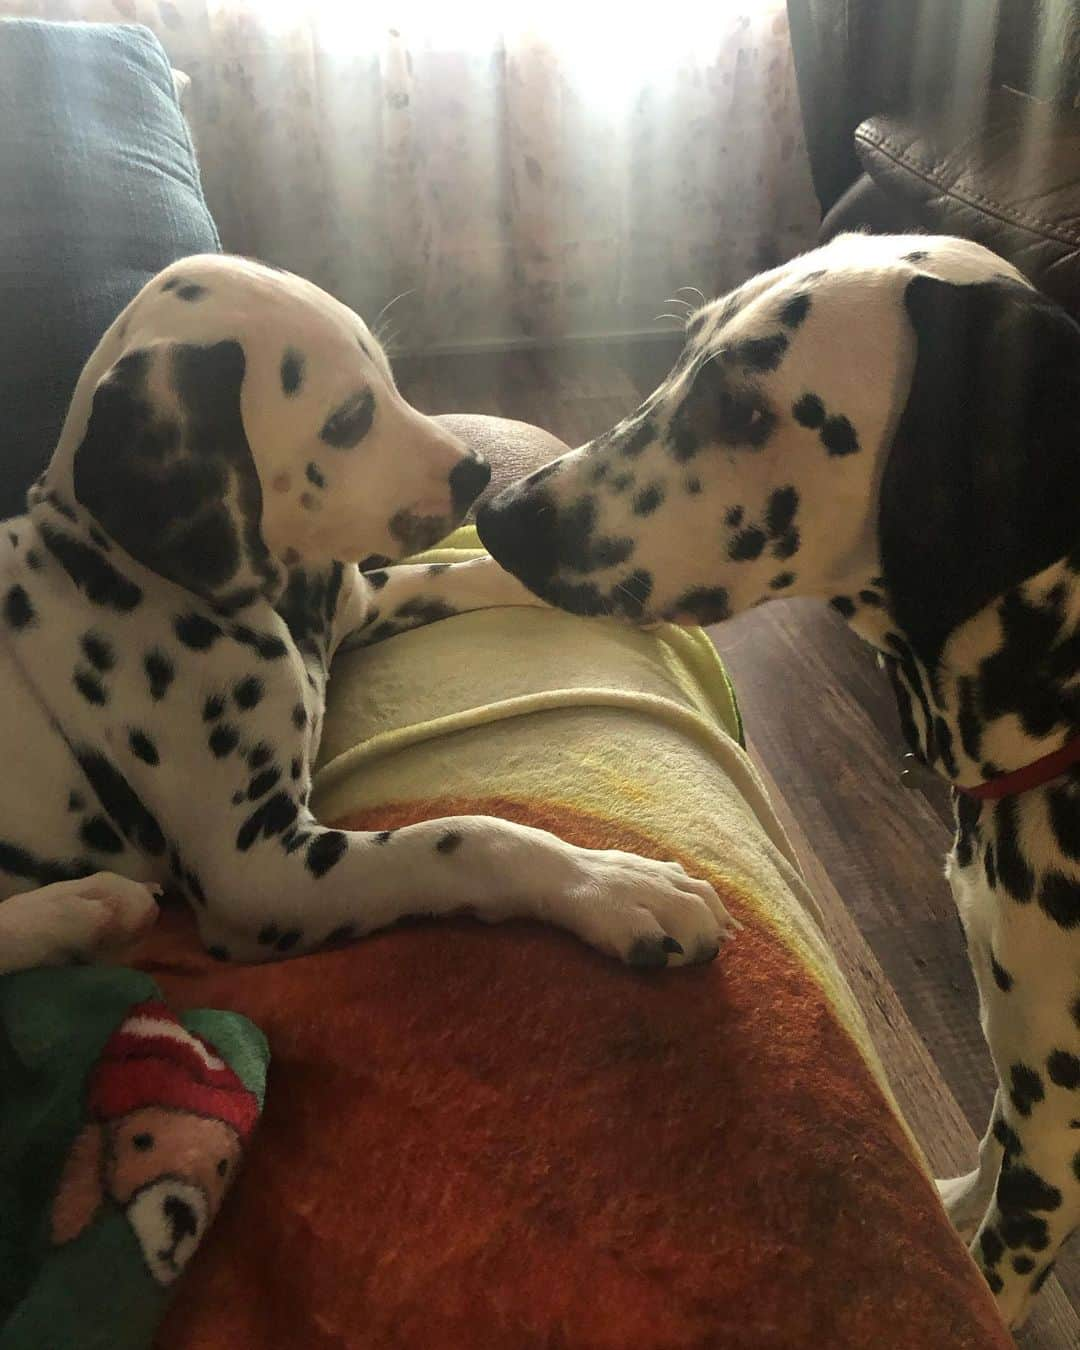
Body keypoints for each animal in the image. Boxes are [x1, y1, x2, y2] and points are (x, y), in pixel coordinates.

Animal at [0, 255, 739, 982]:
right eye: (349, 420)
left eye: (388, 376)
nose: (477, 472)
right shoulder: (258, 870)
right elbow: (466, 838)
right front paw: (616, 886)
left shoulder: (355, 605)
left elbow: (463, 571)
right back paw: (84, 910)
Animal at [477, 229, 1080, 1317]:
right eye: (680, 352)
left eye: (748, 412)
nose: (498, 514)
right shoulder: (1026, 1075)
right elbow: (986, 1153)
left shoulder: (1058, 1145)